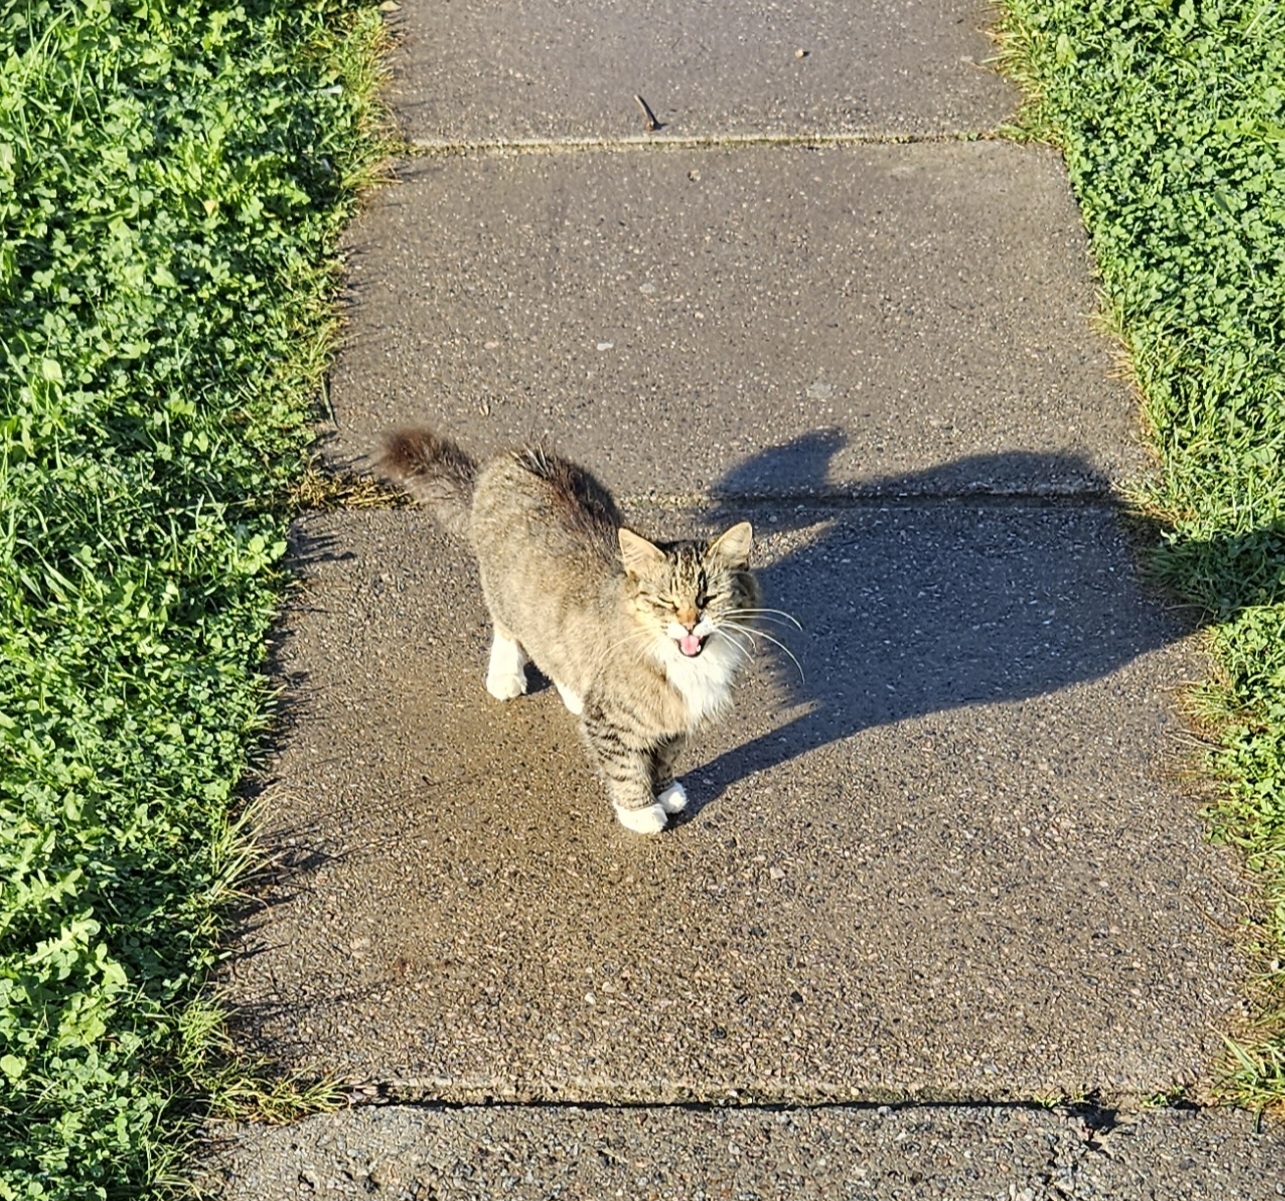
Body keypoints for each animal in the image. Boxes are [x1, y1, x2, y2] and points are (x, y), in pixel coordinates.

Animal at [380, 431, 760, 837]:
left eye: (707, 598)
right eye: (666, 603)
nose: (690, 623)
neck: (683, 663)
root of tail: (511, 458)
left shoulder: (676, 718)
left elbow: (664, 757)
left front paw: (665, 790)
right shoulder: (610, 719)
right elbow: (625, 767)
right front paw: (640, 810)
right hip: (504, 594)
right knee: (508, 631)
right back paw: (505, 674)